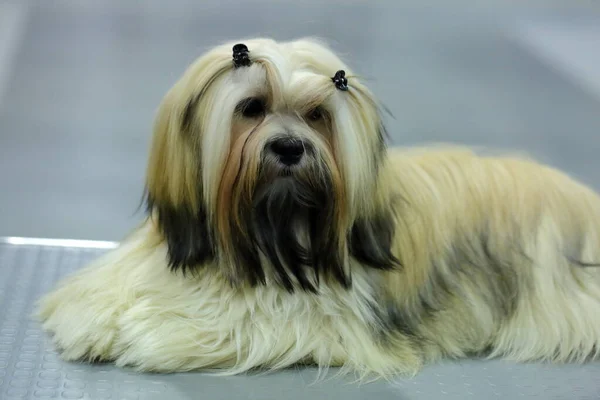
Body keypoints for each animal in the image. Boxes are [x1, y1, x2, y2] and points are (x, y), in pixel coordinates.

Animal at [36, 37, 600, 378]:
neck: (265, 235)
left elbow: (229, 323)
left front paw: (149, 331)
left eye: (317, 115)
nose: (290, 148)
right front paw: (95, 316)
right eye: (252, 108)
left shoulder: (311, 318)